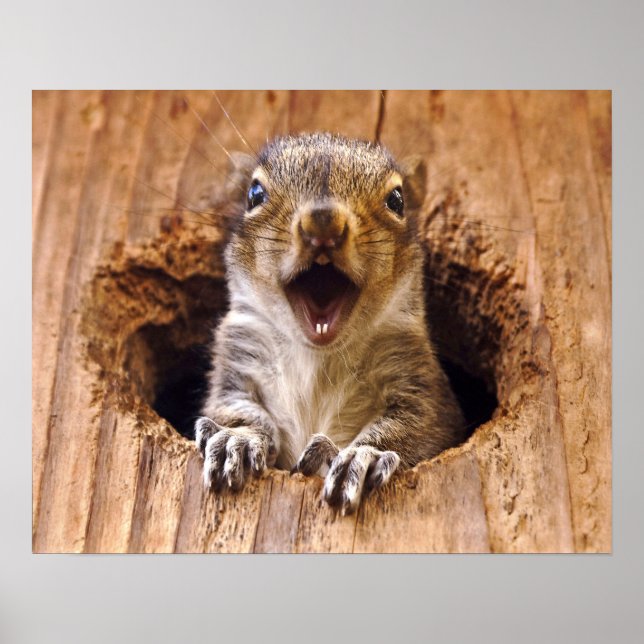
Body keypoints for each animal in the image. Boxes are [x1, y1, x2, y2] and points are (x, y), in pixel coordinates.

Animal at [194, 132, 465, 515]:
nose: (323, 221)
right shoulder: (237, 358)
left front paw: (364, 456)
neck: (318, 355)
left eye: (397, 200)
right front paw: (237, 439)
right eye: (254, 194)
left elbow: (417, 425)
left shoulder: (417, 380)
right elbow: (234, 407)